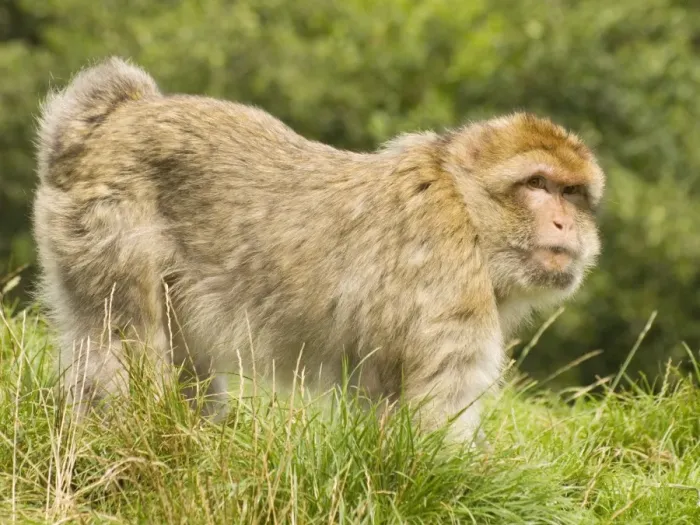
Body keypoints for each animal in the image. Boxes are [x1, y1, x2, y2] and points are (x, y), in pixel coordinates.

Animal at [32, 57, 605, 440]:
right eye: (538, 184)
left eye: (571, 193)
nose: (563, 222)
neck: (465, 207)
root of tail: (110, 118)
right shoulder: (449, 289)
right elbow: (435, 429)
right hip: (107, 225)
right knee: (122, 343)